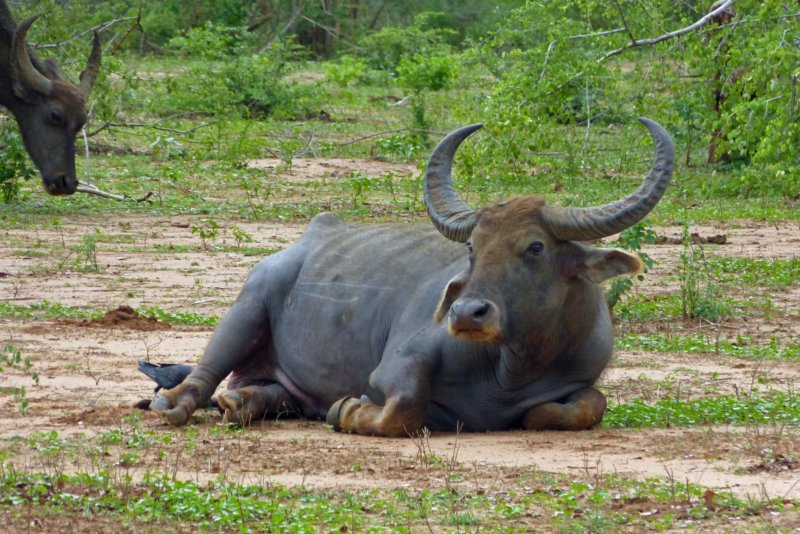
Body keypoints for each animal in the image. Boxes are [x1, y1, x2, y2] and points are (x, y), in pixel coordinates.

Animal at [151, 118, 674, 437]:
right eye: (473, 247)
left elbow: (583, 406)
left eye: (535, 247)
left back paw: (242, 403)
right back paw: (176, 403)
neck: (512, 366)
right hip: (247, 306)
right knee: (204, 375)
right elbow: (402, 408)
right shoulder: (396, 365)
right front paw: (349, 410)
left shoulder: (585, 376)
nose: (466, 313)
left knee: (264, 392)